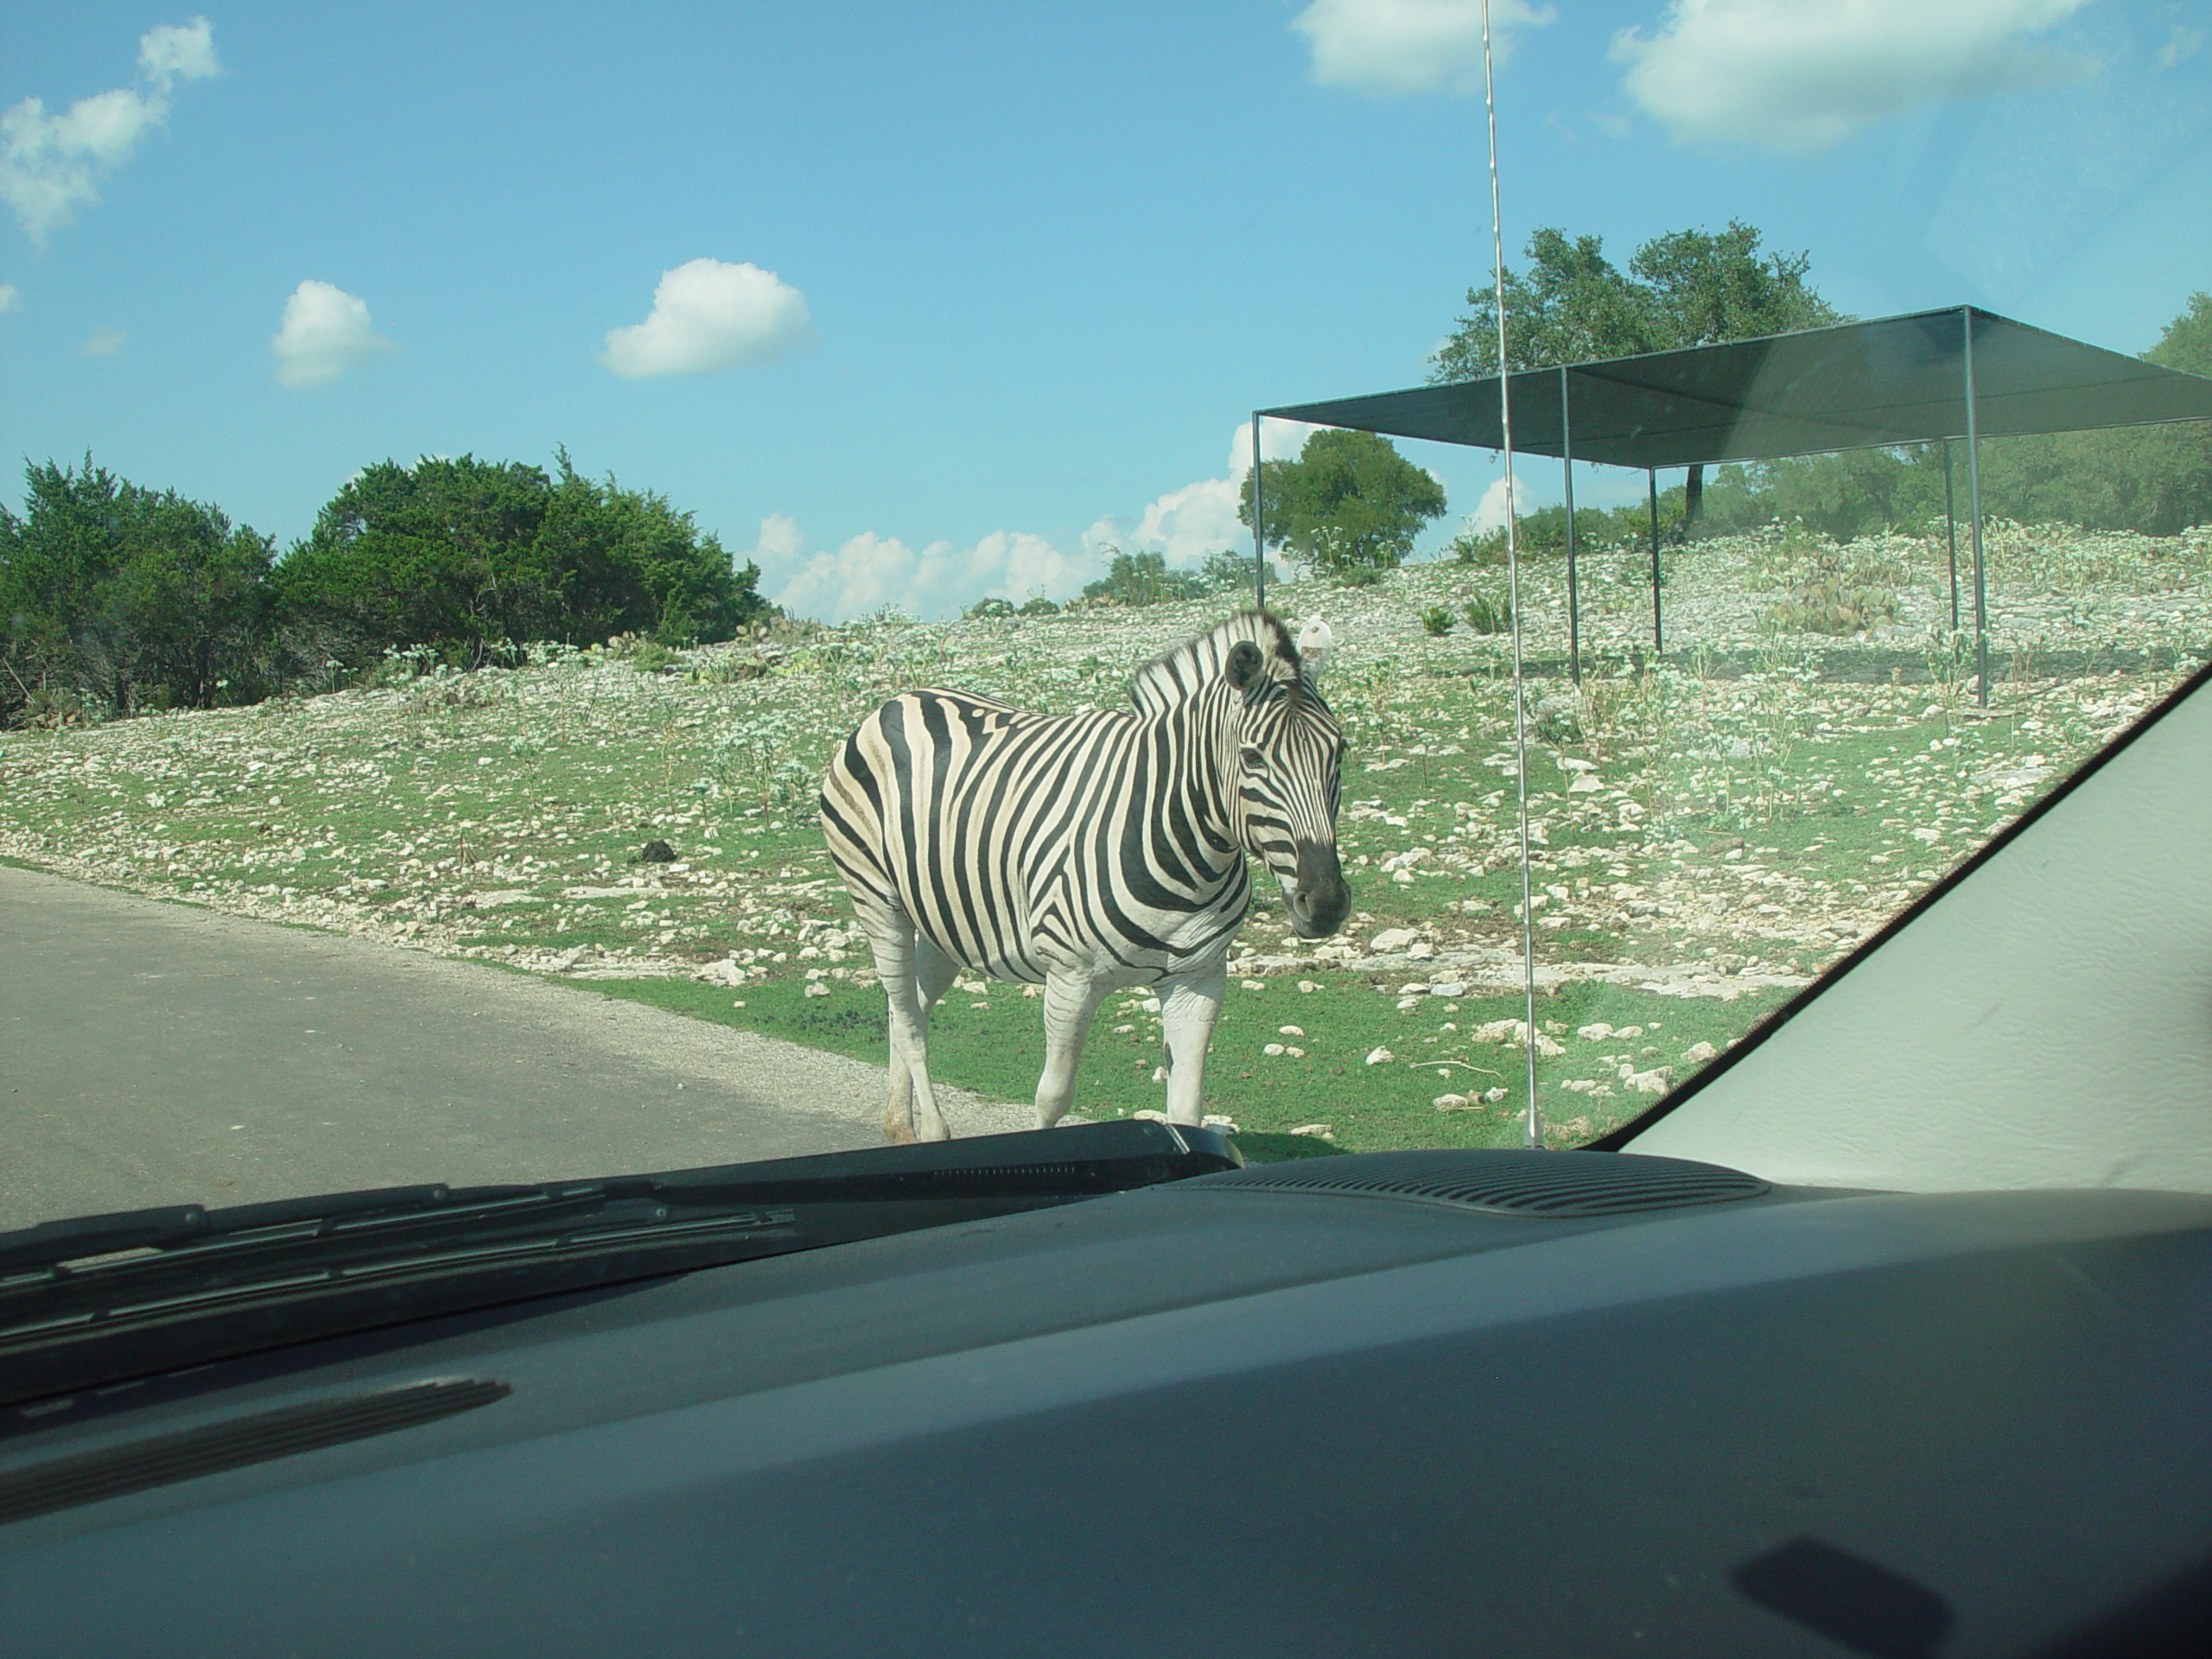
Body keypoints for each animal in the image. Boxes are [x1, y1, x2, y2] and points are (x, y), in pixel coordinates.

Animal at [823, 610, 1344, 1141]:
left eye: (1339, 752)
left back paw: (896, 1125)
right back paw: (927, 1131)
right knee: (908, 1021)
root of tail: (898, 700)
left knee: (905, 1006)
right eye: (1252, 757)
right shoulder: (1070, 978)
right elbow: (1052, 1097)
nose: (1325, 903)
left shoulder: (1199, 981)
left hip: (944, 921)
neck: (1182, 850)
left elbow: (1186, 1105)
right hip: (877, 899)